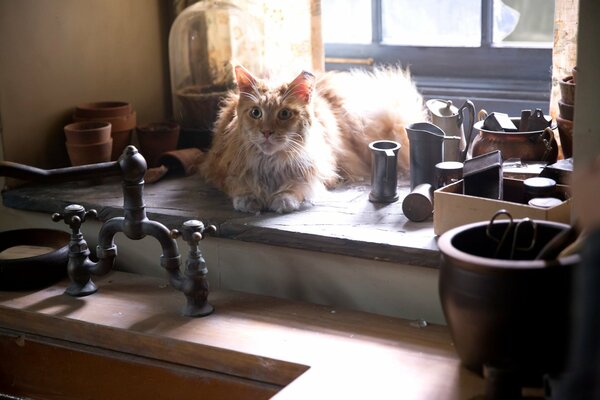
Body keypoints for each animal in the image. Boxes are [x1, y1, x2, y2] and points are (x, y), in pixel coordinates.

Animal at [202, 65, 426, 214]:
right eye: (256, 113)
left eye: (284, 114)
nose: (266, 132)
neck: (270, 164)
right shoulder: (219, 169)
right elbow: (238, 184)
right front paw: (248, 199)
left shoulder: (321, 172)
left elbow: (299, 186)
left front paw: (283, 199)